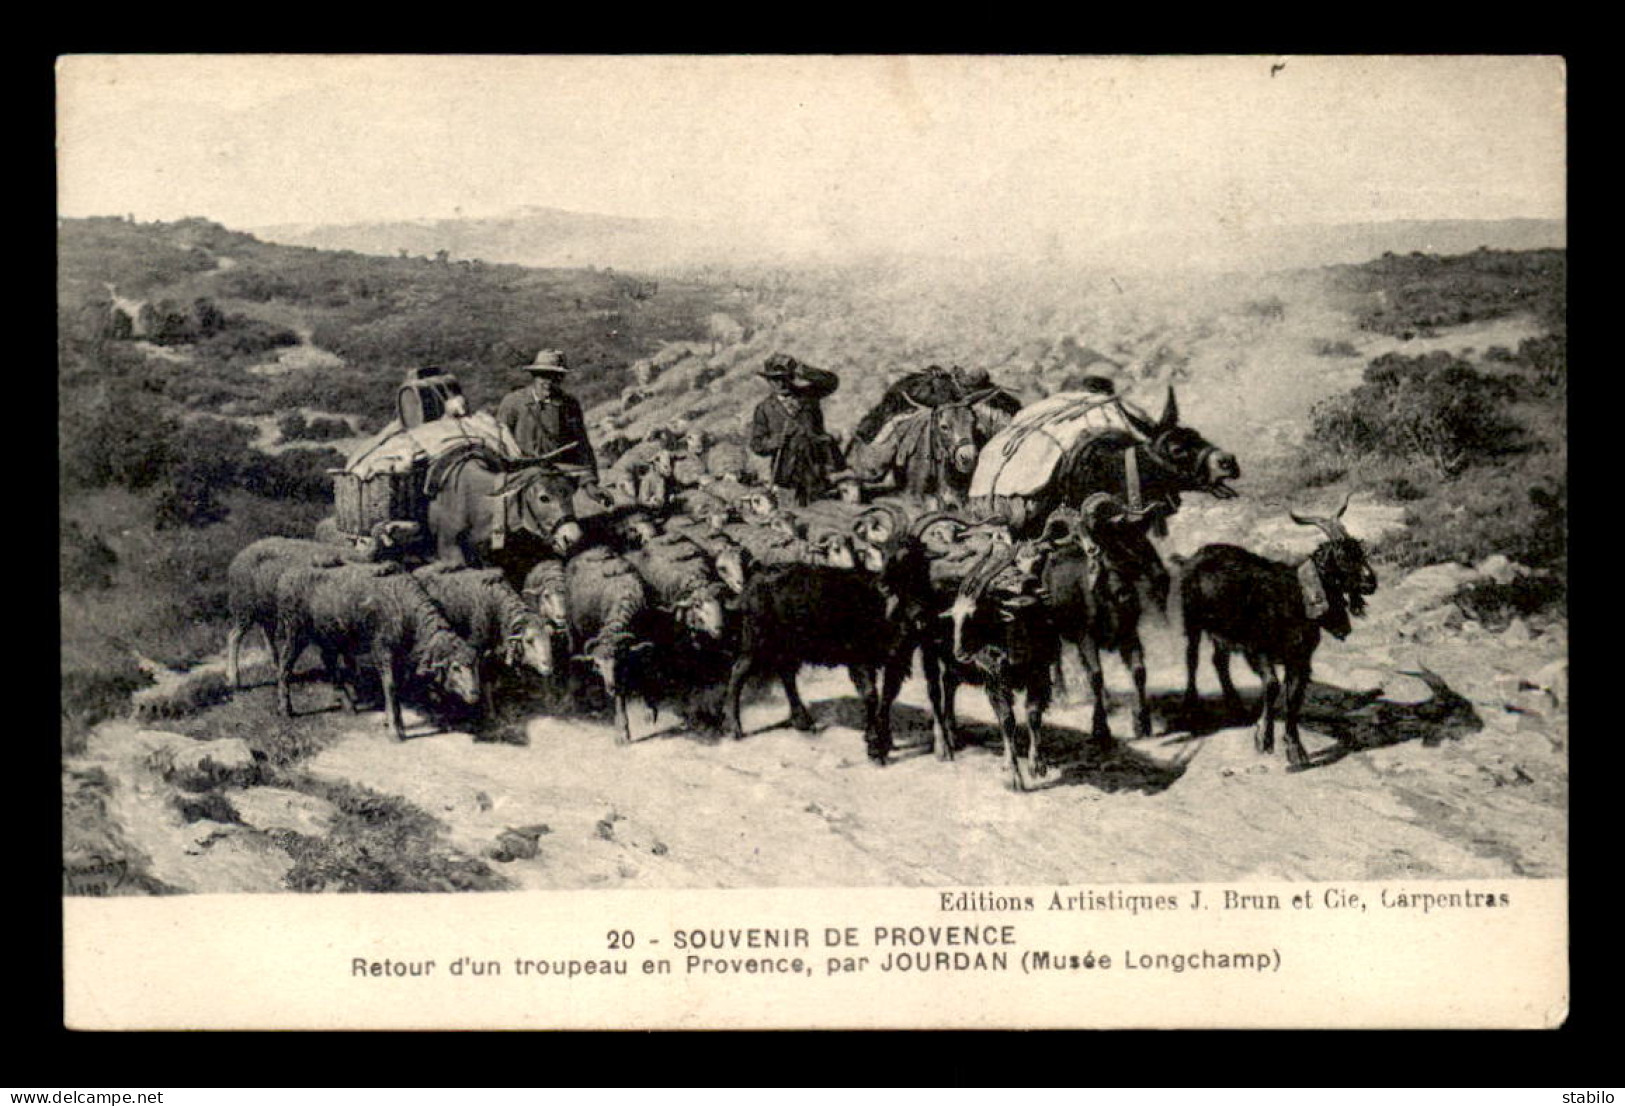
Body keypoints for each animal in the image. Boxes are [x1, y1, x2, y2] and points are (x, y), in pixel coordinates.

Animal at [269, 565, 474, 737]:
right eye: (455, 667)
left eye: (474, 665)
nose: (475, 693)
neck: (404, 608)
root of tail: (288, 576)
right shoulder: (381, 650)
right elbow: (390, 685)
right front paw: (395, 731)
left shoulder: (400, 657)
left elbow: (397, 686)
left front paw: (391, 722)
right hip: (295, 632)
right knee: (285, 664)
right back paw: (285, 709)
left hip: (329, 636)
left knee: (329, 661)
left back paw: (348, 705)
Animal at [416, 565, 562, 721]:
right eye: (528, 641)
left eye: (549, 638)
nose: (548, 667)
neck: (493, 607)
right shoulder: (477, 652)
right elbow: (484, 679)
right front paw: (488, 712)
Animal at [1176, 496, 1378, 773]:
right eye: (1341, 557)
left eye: (1360, 552)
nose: (1371, 582)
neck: (1296, 596)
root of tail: (1195, 555)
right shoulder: (1258, 650)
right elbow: (1272, 686)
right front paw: (1264, 737)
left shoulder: (1300, 659)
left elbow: (1294, 696)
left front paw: (1295, 750)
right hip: (1193, 619)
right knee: (1192, 657)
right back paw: (1190, 707)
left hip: (1224, 632)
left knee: (1219, 661)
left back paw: (1237, 706)